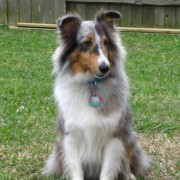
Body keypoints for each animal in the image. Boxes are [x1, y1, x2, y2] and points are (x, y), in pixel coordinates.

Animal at [43, 10, 150, 180]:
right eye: (86, 43)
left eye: (106, 43)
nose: (105, 67)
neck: (91, 85)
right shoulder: (70, 137)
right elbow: (75, 170)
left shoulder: (114, 136)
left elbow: (108, 171)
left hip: (129, 137)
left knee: (126, 163)